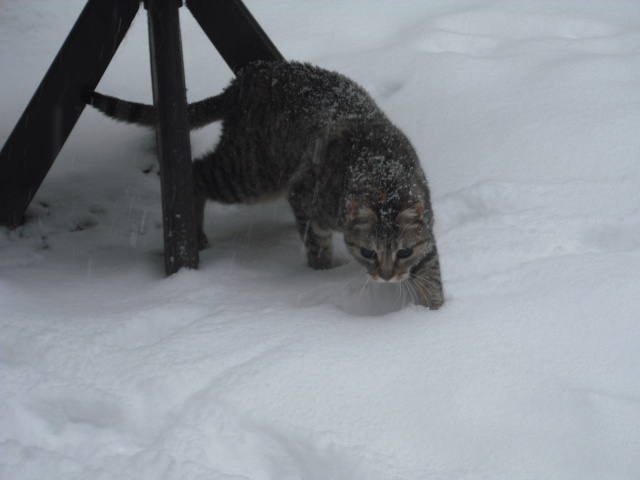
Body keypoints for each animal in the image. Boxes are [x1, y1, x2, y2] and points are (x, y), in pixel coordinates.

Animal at [86, 61, 444, 308]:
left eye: (404, 251)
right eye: (368, 252)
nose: (386, 277)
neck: (382, 173)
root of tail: (241, 81)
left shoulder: (425, 229)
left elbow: (431, 273)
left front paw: (431, 314)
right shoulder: (304, 197)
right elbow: (317, 246)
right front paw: (324, 273)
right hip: (250, 174)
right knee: (196, 172)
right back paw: (196, 232)